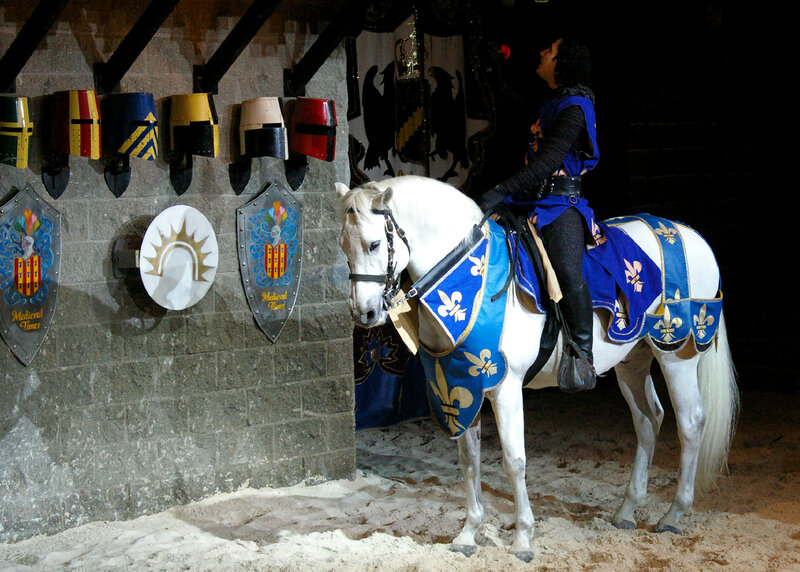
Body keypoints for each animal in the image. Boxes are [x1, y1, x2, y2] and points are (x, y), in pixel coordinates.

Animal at [335, 175, 738, 561]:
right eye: (343, 247)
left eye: (374, 244)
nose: (364, 313)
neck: (472, 278)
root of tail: (687, 234)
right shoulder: (463, 384)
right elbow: (469, 461)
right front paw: (468, 534)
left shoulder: (504, 387)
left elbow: (515, 461)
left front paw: (522, 539)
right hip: (632, 359)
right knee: (648, 419)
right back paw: (627, 510)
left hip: (676, 354)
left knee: (690, 423)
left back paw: (673, 515)